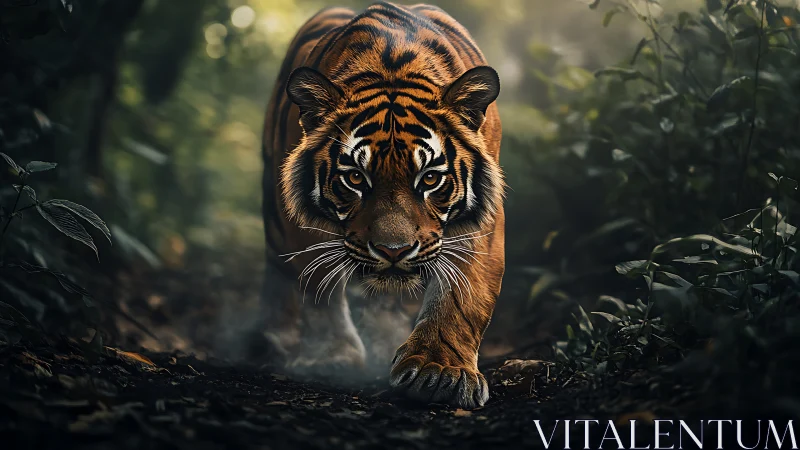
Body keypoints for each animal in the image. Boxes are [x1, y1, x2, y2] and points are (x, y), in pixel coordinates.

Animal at [261, 1, 504, 409]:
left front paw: (439, 370)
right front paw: (335, 356)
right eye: (356, 178)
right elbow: (320, 286)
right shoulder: (303, 224)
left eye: (430, 179)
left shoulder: (480, 224)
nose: (394, 251)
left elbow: (461, 296)